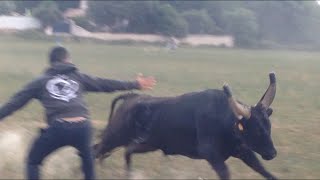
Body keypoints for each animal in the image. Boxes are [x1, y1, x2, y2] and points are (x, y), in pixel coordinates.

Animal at [93, 73, 278, 179]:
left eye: (268, 126)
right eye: (256, 129)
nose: (272, 153)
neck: (225, 119)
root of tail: (132, 97)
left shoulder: (243, 151)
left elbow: (265, 171)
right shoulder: (211, 153)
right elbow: (226, 173)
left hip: (146, 144)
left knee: (126, 151)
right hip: (115, 137)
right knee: (96, 150)